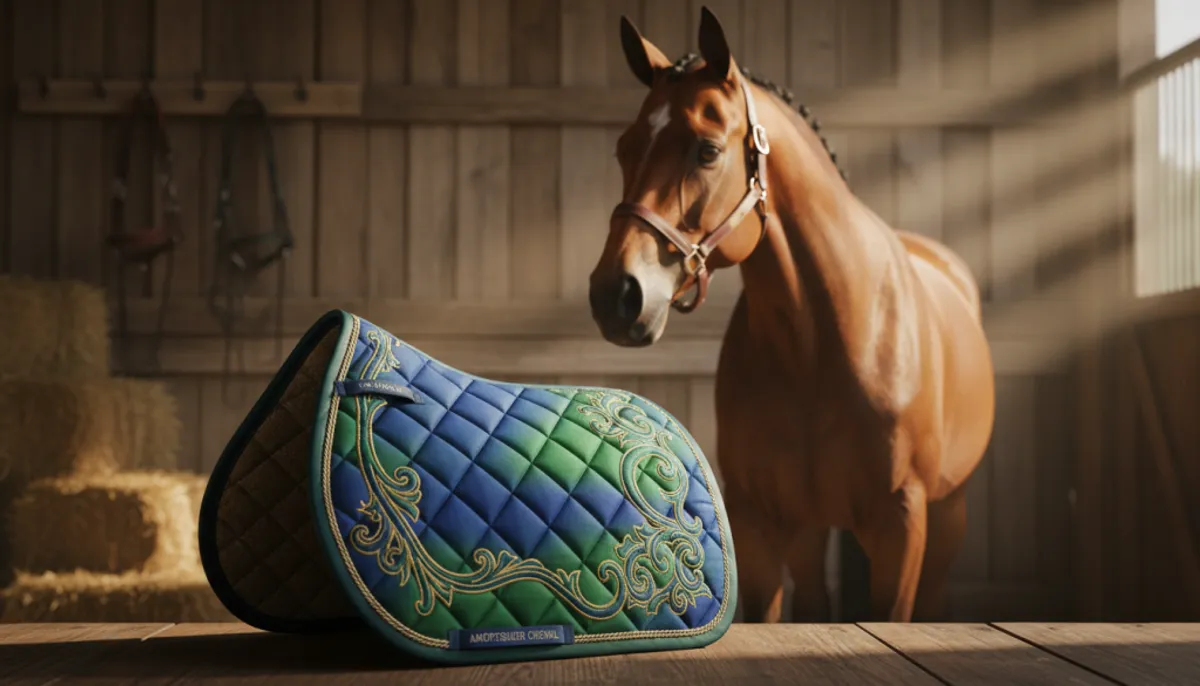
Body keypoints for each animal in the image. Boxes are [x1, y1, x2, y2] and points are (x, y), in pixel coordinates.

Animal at [586, 7, 996, 623]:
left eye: (707, 150)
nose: (616, 294)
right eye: (624, 148)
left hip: (950, 514)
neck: (822, 343)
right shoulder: (761, 523)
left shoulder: (901, 525)